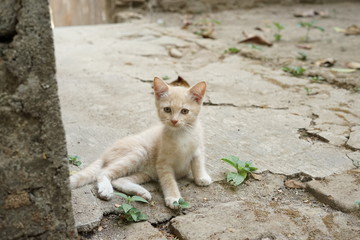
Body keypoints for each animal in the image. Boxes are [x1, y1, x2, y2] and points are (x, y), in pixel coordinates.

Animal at [69, 76, 211, 208]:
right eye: (167, 109)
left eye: (184, 111)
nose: (174, 121)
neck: (182, 134)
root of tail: (105, 154)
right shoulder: (163, 164)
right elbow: (169, 181)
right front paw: (174, 198)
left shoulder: (198, 149)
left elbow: (198, 164)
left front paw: (201, 178)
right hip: (139, 152)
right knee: (103, 172)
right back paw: (106, 189)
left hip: (145, 173)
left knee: (119, 180)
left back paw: (141, 193)